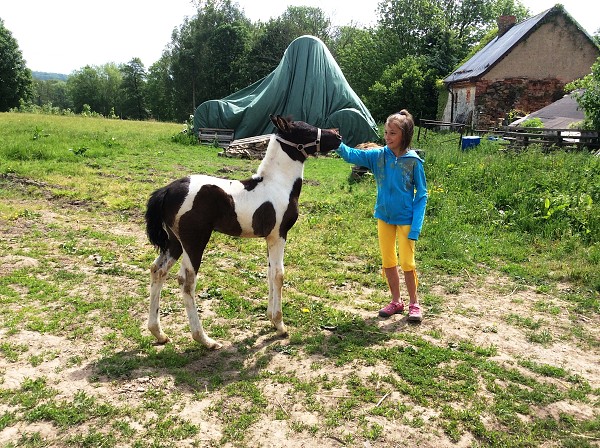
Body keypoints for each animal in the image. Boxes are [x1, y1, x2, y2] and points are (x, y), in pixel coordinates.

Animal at [145, 114, 342, 348]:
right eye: (307, 131)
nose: (338, 135)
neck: (277, 184)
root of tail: (167, 190)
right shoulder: (279, 235)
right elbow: (279, 275)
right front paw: (280, 325)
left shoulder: (269, 238)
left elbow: (269, 273)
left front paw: (270, 318)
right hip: (194, 242)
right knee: (186, 281)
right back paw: (205, 340)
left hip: (174, 242)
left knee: (158, 270)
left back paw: (158, 333)